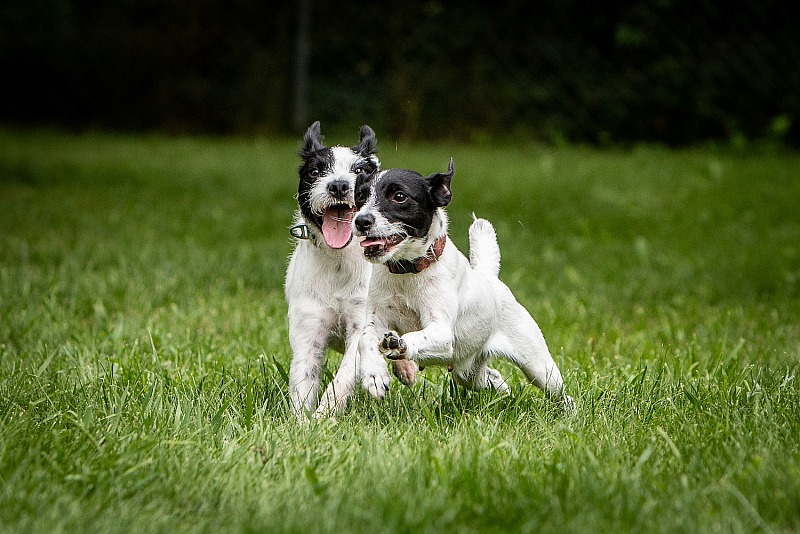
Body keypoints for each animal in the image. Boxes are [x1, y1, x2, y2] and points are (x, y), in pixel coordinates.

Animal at [286, 121, 392, 418]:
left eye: (360, 171)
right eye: (315, 171)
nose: (338, 185)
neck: (339, 259)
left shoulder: (360, 322)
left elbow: (344, 375)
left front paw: (325, 414)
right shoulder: (308, 328)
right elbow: (303, 379)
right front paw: (303, 423)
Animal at [356, 159, 576, 410]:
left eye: (399, 196)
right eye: (360, 196)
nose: (360, 221)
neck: (407, 273)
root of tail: (490, 278)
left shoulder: (442, 333)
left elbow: (416, 337)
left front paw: (398, 345)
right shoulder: (377, 318)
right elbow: (366, 339)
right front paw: (374, 375)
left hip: (538, 368)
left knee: (559, 392)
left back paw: (569, 411)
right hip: (468, 372)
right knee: (492, 377)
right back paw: (504, 391)